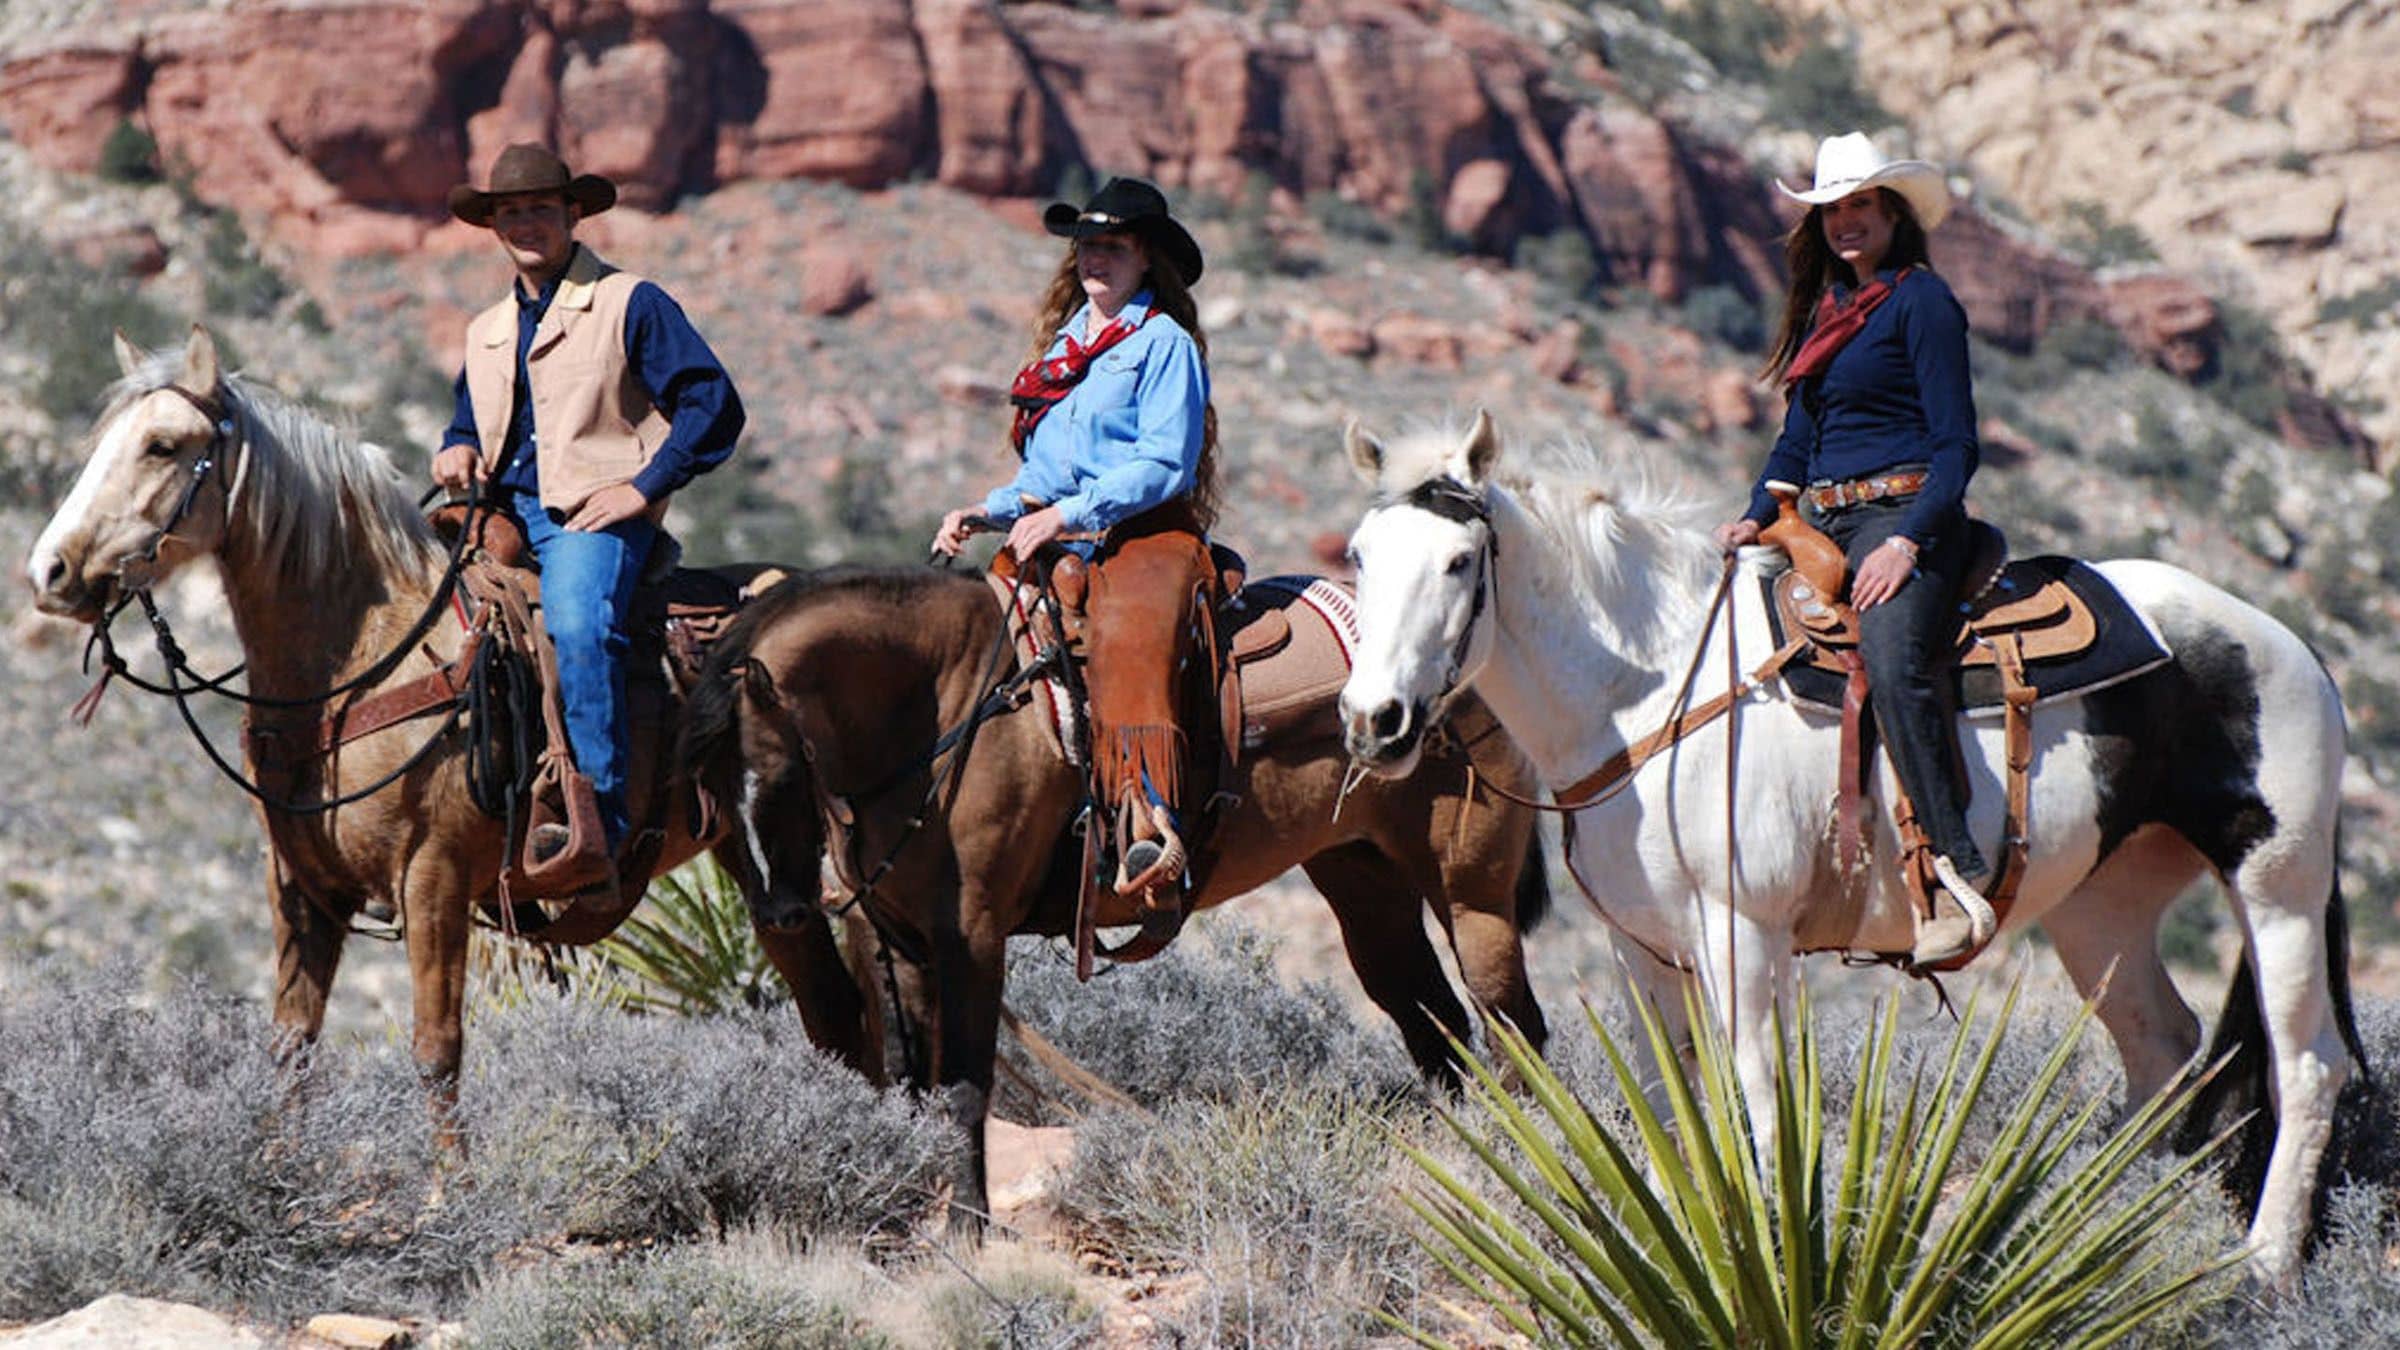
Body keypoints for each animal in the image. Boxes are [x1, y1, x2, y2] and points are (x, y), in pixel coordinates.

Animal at [25, 333, 883, 1114]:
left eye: (163, 445)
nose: (48, 571)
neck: (366, 659)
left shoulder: (431, 878)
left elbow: (437, 1054)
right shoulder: (301, 888)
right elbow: (292, 1051)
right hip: (759, 865)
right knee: (831, 1011)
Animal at [676, 557, 1545, 1220]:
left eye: (782, 777)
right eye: (702, 787)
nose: (781, 913)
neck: (945, 708)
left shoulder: (973, 941)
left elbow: (965, 1089)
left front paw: (969, 1228)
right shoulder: (908, 945)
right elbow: (919, 1088)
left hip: (1470, 895)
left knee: (1512, 1026)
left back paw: (1527, 1166)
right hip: (1364, 884)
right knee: (1432, 1023)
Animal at [1344, 410, 2371, 1277]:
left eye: (1460, 561)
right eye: (1358, 554)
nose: (1373, 721)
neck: (1650, 692)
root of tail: (2293, 647)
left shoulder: (1742, 931)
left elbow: (1757, 1092)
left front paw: (1765, 1245)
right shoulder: (1642, 948)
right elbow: (1671, 1099)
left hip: (2276, 886)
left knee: (2305, 1062)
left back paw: (2264, 1267)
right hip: (2102, 908)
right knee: (2162, 1047)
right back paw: (2091, 1224)